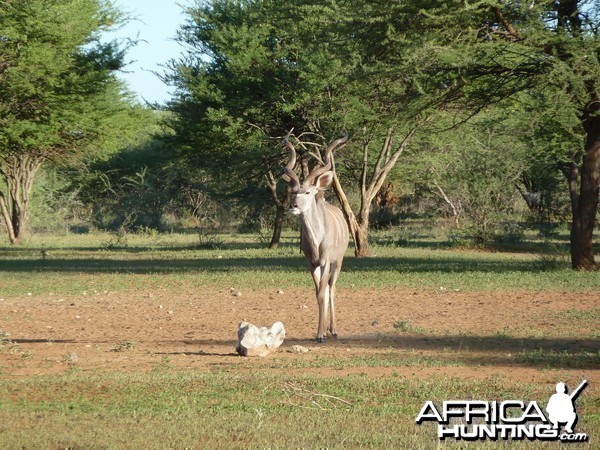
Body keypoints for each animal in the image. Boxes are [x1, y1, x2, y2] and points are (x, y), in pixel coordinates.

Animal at [282, 132, 350, 342]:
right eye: (292, 191)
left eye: (307, 191)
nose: (293, 206)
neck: (317, 240)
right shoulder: (311, 262)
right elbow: (318, 293)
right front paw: (320, 332)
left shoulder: (326, 261)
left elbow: (323, 293)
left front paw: (321, 335)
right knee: (327, 289)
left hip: (338, 261)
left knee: (332, 289)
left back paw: (333, 330)